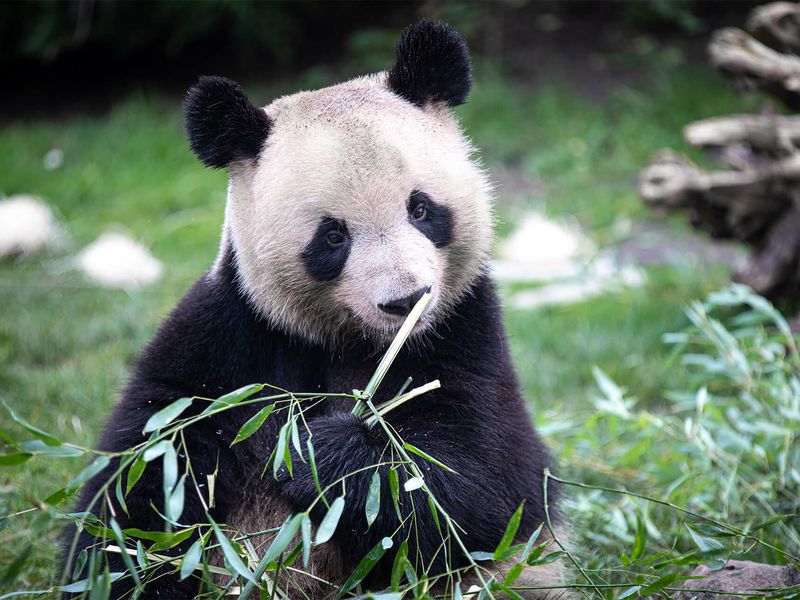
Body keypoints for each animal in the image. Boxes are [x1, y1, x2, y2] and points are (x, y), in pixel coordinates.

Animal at [70, 19, 568, 600]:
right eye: (333, 237)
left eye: (421, 209)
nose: (405, 302)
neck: (355, 340)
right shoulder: (232, 335)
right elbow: (146, 470)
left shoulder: (465, 330)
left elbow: (483, 478)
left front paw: (320, 454)